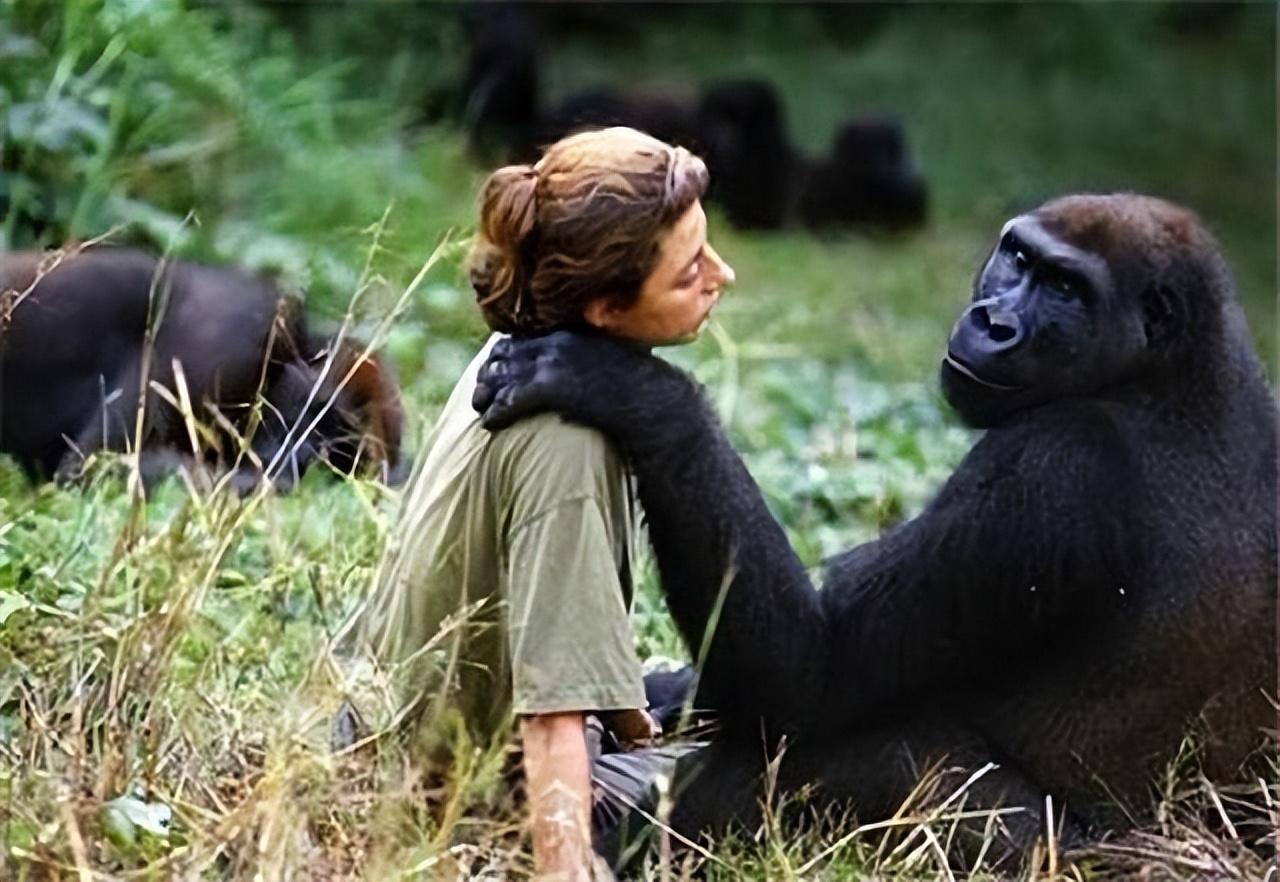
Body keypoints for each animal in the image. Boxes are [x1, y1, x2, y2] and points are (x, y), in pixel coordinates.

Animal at [473, 194, 1280, 860]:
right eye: (1018, 259)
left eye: (1065, 290)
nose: (994, 323)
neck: (1168, 371)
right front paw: (665, 692)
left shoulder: (1055, 460)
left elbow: (810, 678)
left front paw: (630, 389)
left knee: (869, 748)